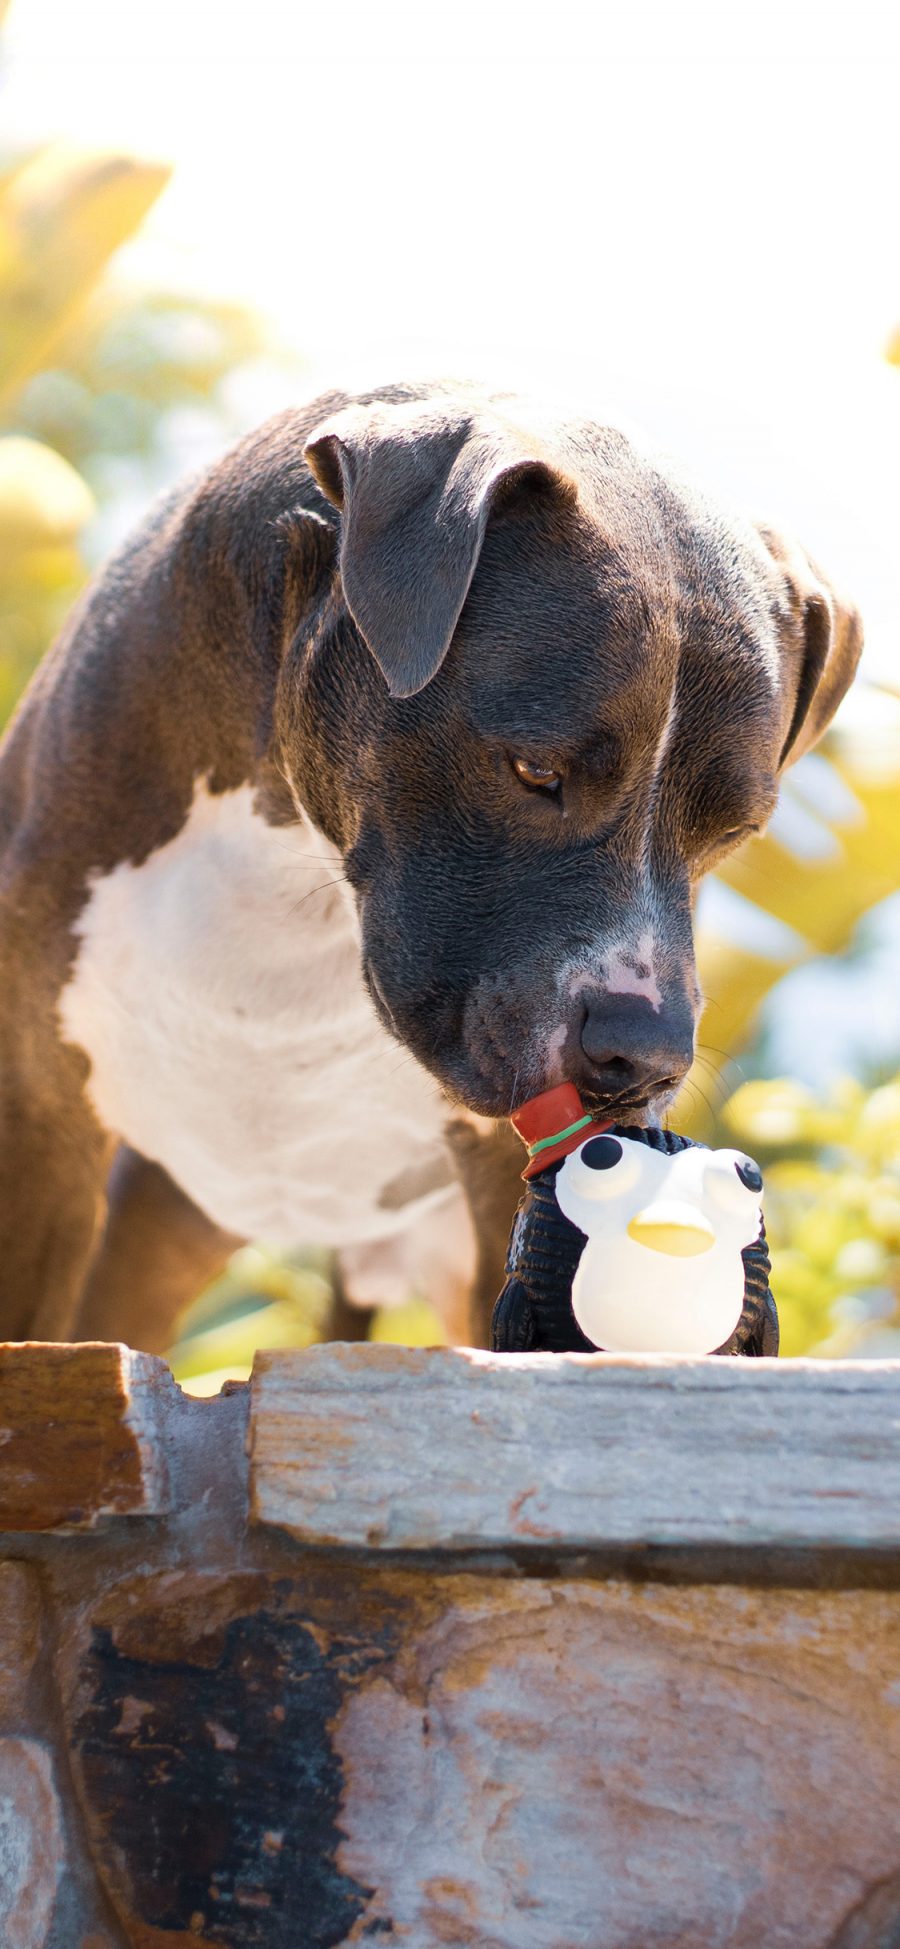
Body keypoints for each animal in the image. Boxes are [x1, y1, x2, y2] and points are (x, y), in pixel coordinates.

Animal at [0, 380, 861, 1356]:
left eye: (735, 831)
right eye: (535, 770)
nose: (643, 1056)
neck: (299, 876)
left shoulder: (504, 1185)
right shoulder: (44, 1131)